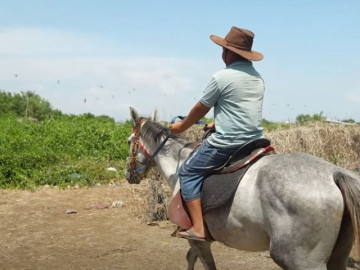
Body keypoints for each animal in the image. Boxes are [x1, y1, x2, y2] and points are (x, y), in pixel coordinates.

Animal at [124, 107, 360, 270]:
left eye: (128, 141)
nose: (128, 174)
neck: (180, 163)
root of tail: (333, 173)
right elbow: (190, 258)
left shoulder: (197, 239)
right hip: (337, 257)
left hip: (300, 260)